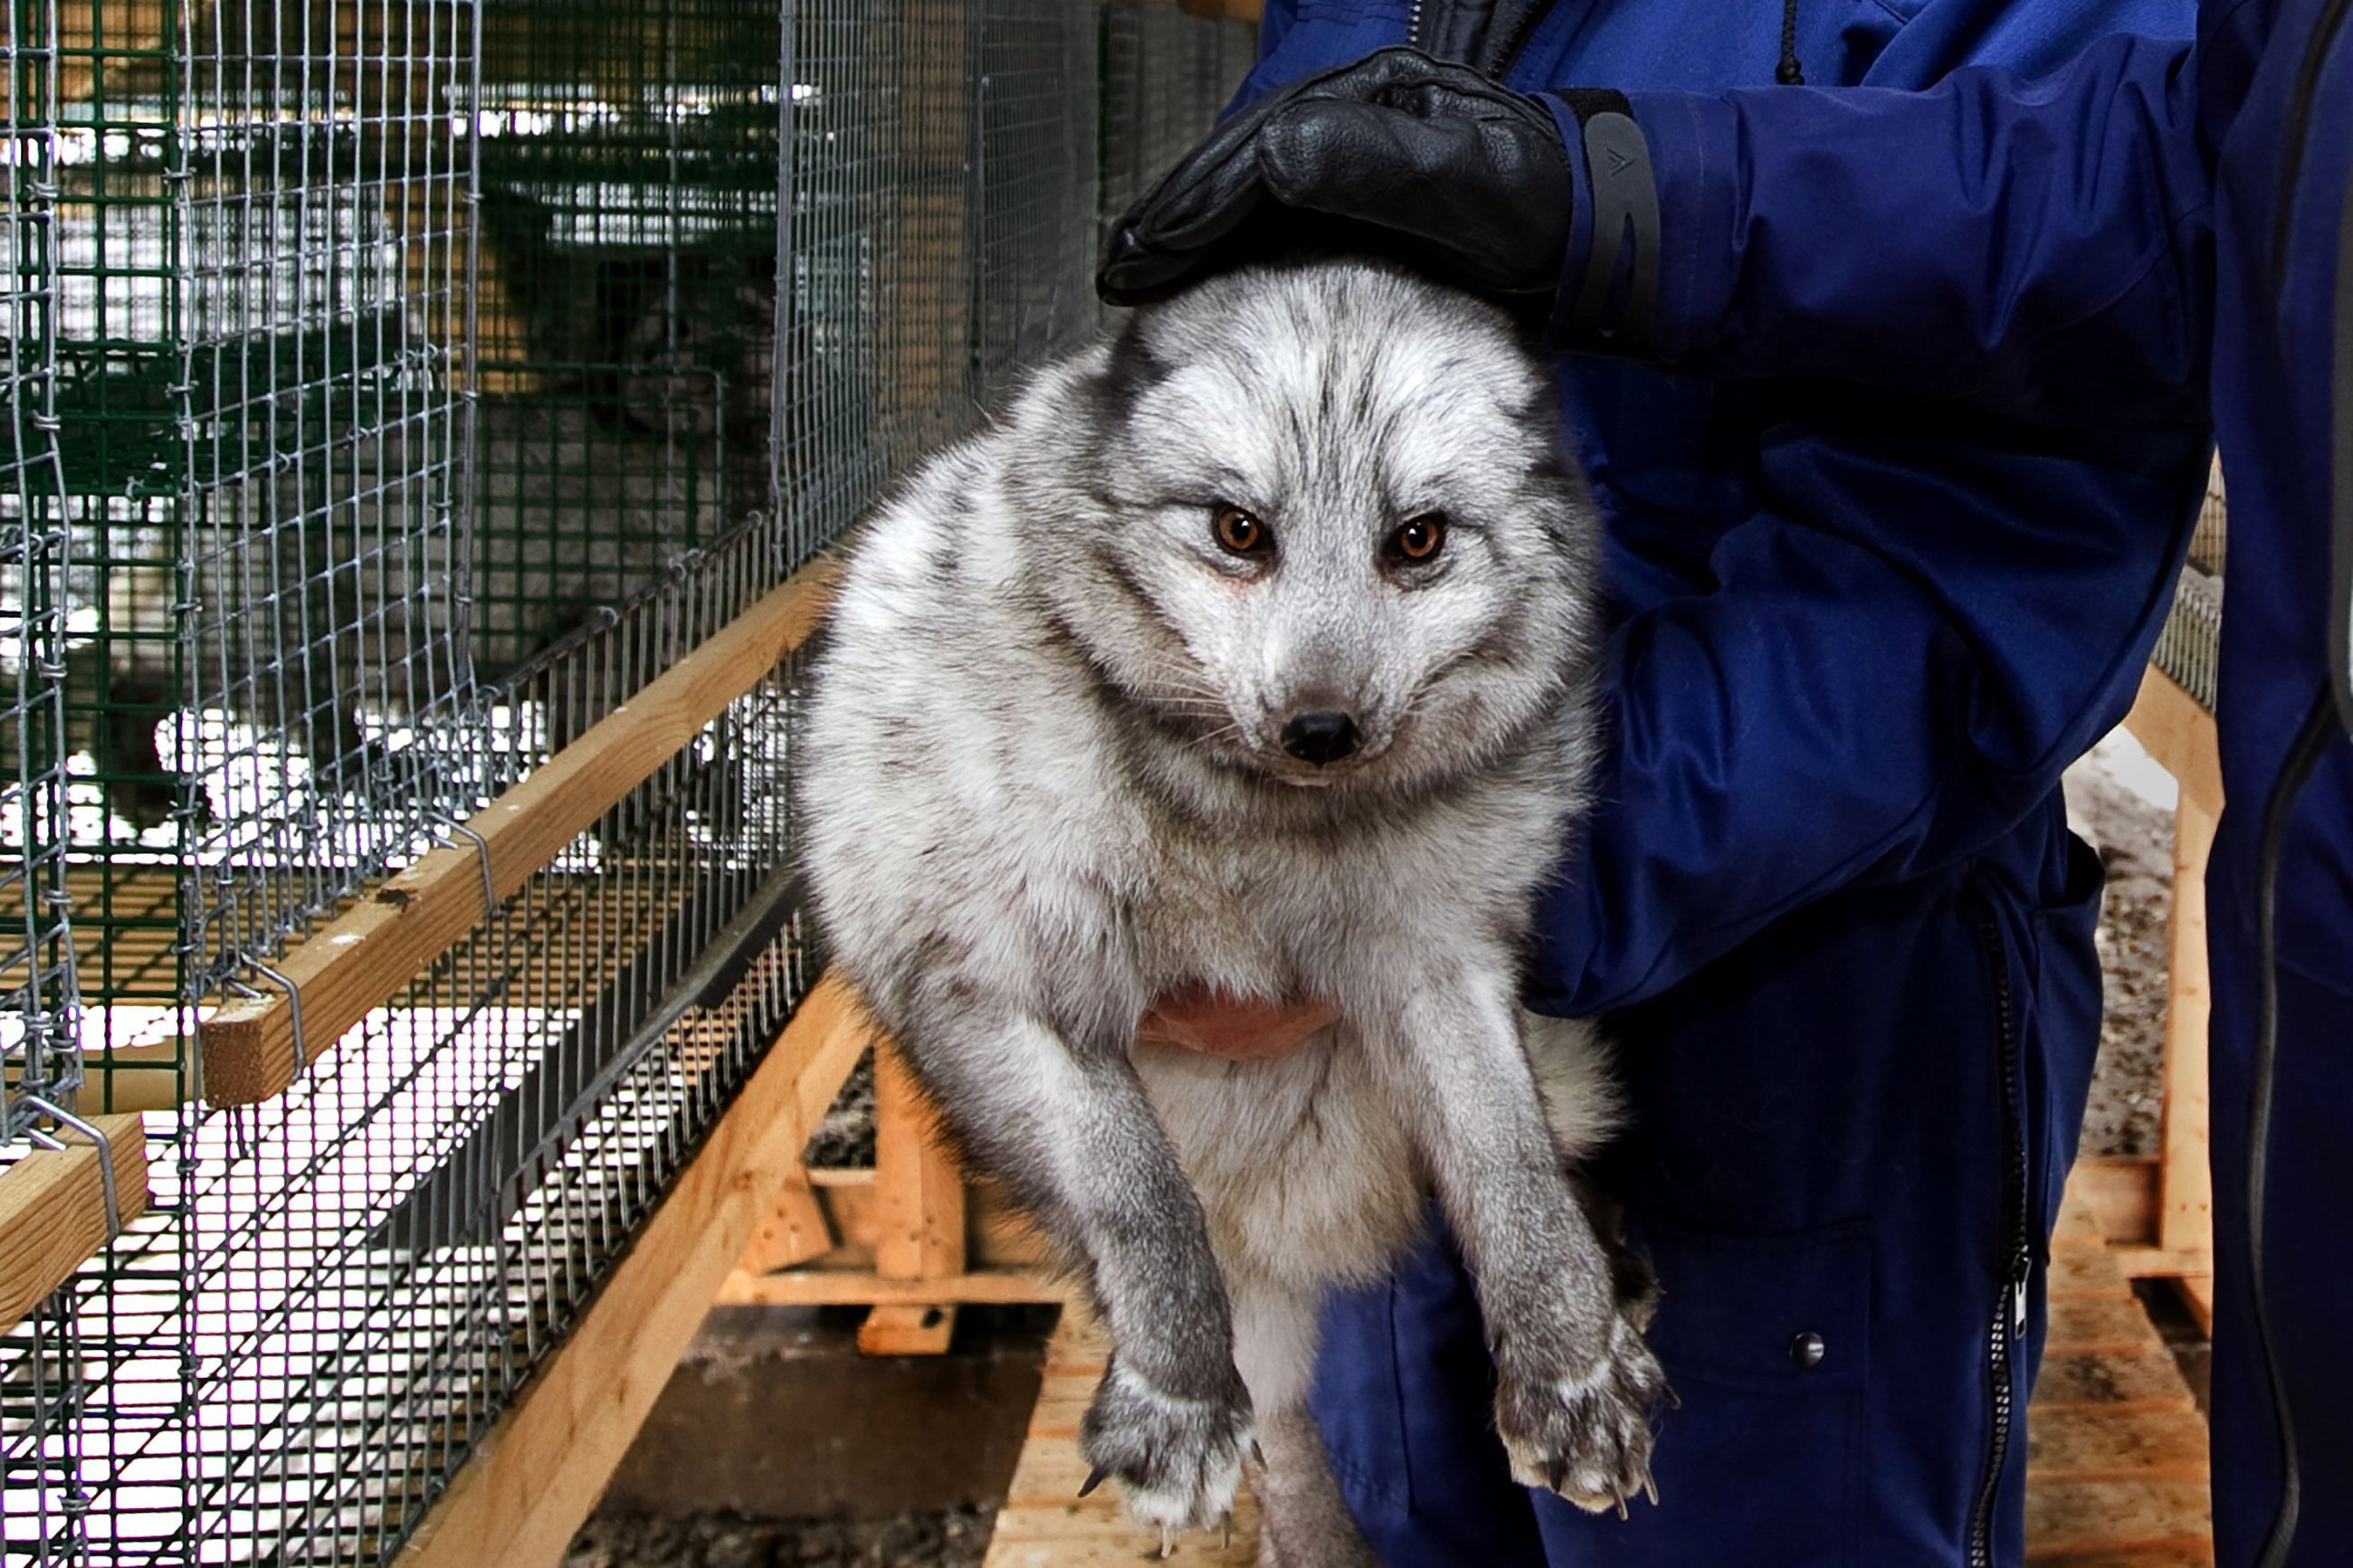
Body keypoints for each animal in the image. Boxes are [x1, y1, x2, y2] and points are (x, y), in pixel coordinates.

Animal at [799, 254, 1665, 1561]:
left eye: (1416, 539)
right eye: (1238, 532)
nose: (1321, 729)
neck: (1248, 839)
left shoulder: (1441, 957)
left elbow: (1507, 1166)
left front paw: (1570, 1370)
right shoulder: (987, 979)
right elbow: (1138, 1194)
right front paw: (1174, 1397)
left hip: (1553, 1061)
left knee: (1554, 1146)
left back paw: (1612, 1260)